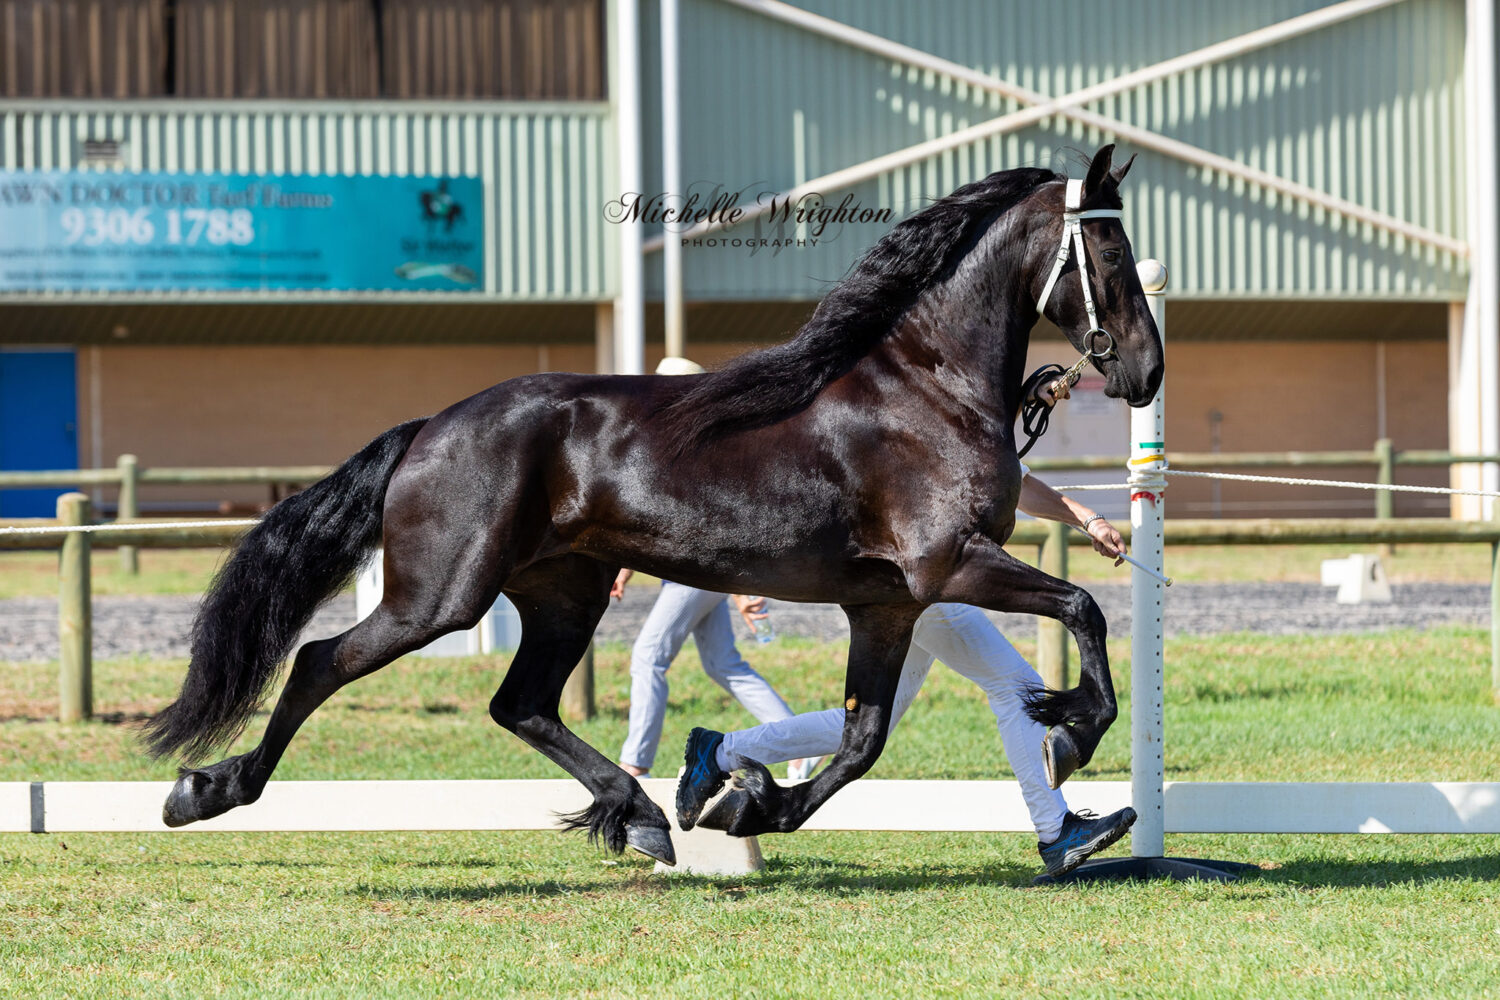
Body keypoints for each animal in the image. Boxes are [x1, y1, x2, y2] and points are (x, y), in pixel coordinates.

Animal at [143, 144, 1158, 863]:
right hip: (441, 597)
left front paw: (748, 801)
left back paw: (641, 815)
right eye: (1110, 247)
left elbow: (863, 738)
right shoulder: (950, 567)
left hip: (565, 592)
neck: (925, 390)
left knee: (521, 706)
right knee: (321, 662)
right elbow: (1086, 607)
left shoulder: (889, 603)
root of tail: (433, 425)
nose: (1145, 373)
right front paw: (1071, 735)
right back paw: (206, 791)